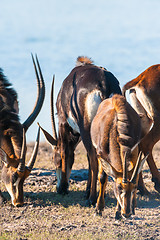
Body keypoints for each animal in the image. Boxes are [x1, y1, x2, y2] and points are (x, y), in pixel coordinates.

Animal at [39, 56, 121, 204]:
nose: (58, 188)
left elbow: (66, 152)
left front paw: (65, 188)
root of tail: (104, 83)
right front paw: (87, 191)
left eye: (54, 158)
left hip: (86, 129)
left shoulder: (63, 123)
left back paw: (92, 199)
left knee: (94, 159)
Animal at [122, 64, 160, 195]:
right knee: (146, 143)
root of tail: (140, 78)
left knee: (137, 147)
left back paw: (142, 188)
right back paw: (157, 182)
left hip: (144, 121)